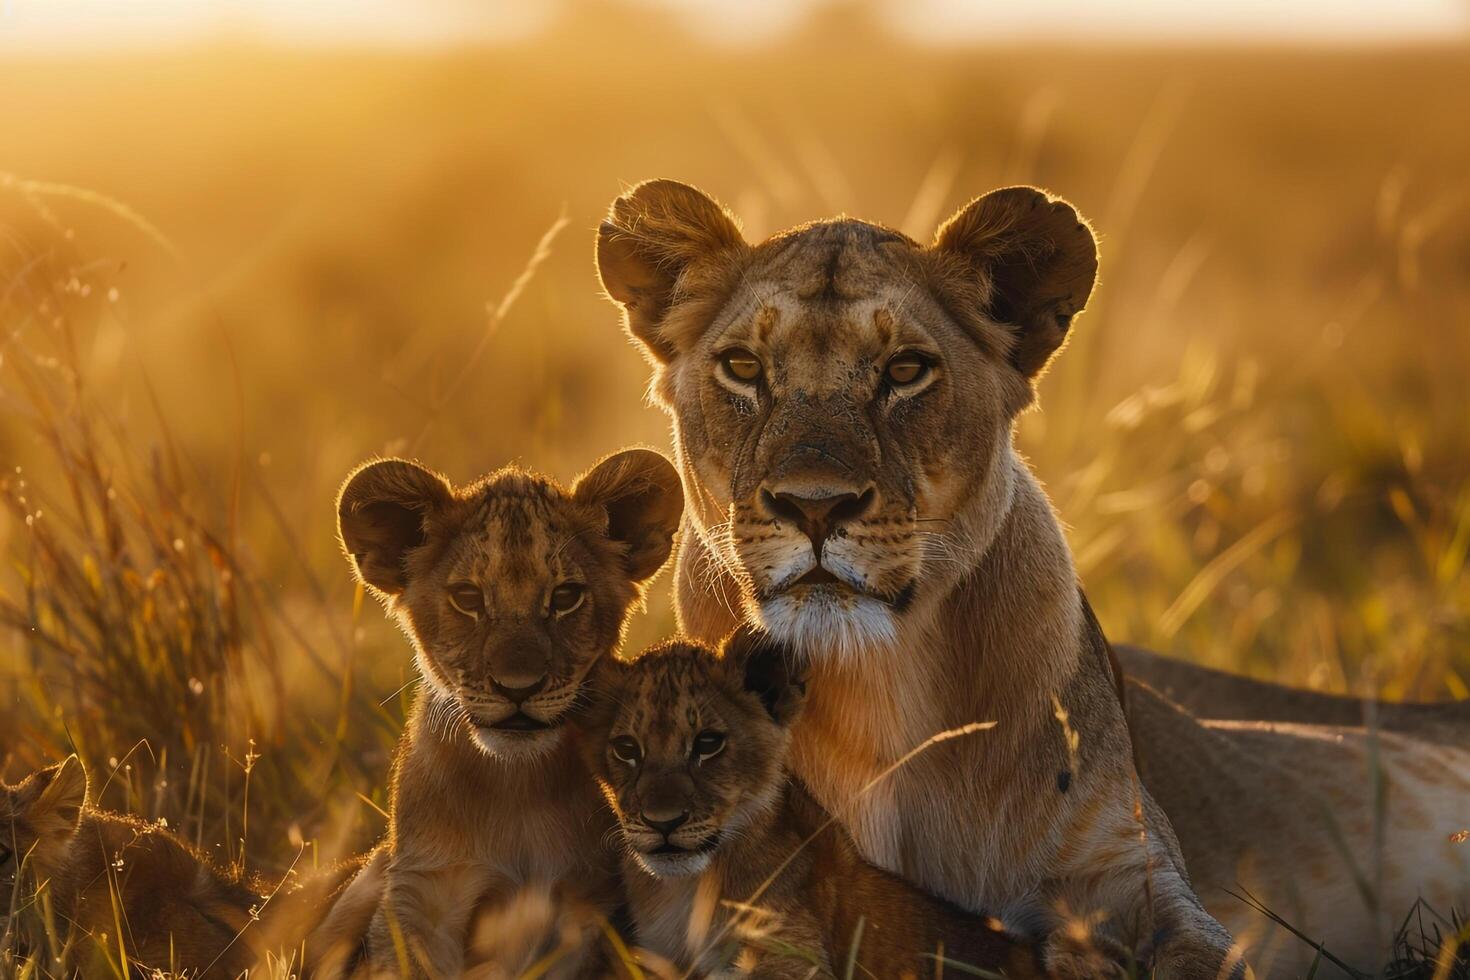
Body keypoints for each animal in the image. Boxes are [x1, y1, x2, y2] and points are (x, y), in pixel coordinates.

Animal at [330, 448, 683, 979]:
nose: (519, 688)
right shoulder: (422, 888)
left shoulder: (586, 904)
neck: (516, 786)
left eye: (565, 597)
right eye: (468, 598)